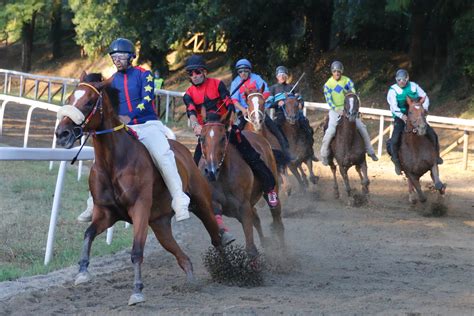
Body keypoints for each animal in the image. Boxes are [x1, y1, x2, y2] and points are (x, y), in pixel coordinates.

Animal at [54, 72, 225, 306]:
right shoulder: (107, 212)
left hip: (201, 202)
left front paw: (137, 291)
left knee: (216, 235)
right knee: (182, 256)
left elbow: (136, 250)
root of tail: (183, 150)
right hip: (160, 224)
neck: (114, 162)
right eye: (70, 98)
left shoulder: (140, 208)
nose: (62, 133)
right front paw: (82, 272)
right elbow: (88, 234)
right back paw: (191, 280)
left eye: (89, 102)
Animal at [198, 113, 284, 256]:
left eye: (223, 138)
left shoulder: (243, 207)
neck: (222, 175)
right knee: (256, 218)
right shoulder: (216, 202)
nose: (211, 170)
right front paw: (225, 237)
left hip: (272, 188)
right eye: (202, 138)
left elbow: (250, 248)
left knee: (277, 220)